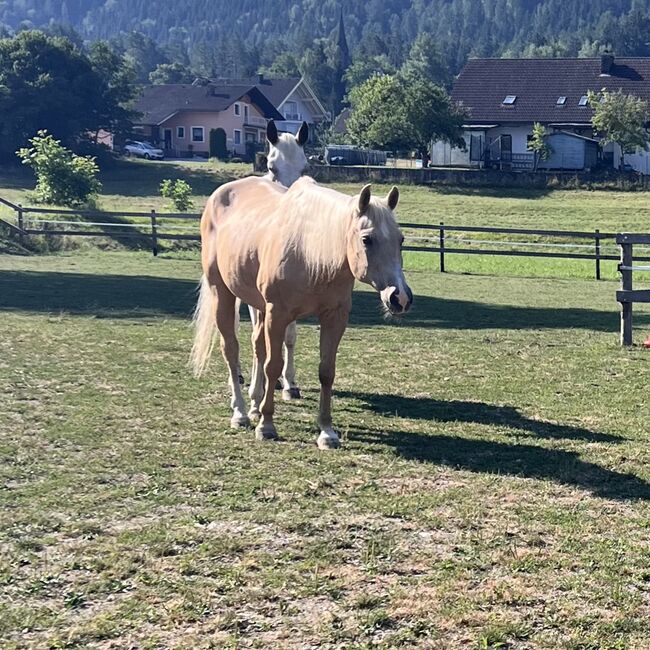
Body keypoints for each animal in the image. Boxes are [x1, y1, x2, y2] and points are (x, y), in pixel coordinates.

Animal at [191, 175, 412, 449]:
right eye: (366, 239)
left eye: (400, 239)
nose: (400, 297)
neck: (310, 251)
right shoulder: (277, 314)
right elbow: (274, 366)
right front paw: (266, 426)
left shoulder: (334, 317)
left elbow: (326, 371)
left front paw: (327, 432)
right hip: (222, 292)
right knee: (231, 350)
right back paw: (241, 413)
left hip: (258, 306)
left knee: (257, 348)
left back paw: (254, 405)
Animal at [235, 119, 309, 400]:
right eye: (271, 167)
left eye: (305, 168)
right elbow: (261, 340)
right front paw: (258, 387)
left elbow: (289, 336)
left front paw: (289, 383)